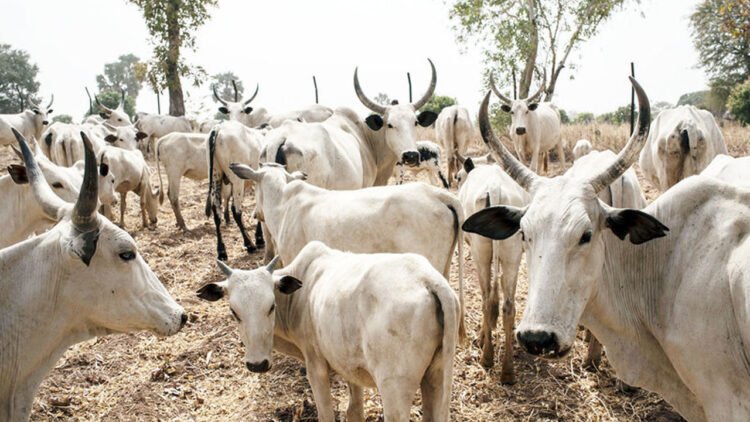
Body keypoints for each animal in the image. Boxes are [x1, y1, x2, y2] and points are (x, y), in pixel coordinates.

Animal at [197, 241, 460, 421]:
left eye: (271, 306)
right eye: (234, 311)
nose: (257, 364)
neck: (300, 294)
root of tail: (429, 279)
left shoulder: (316, 367)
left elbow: (326, 413)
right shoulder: (351, 366)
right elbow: (354, 411)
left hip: (395, 389)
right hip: (437, 377)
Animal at [205, 121, 265, 260]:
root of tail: (218, 128)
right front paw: (259, 239)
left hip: (215, 176)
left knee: (217, 211)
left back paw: (222, 251)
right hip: (237, 181)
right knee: (236, 210)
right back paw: (249, 244)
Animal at [457, 157, 527, 383]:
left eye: (458, 177)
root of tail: (495, 188)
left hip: (481, 253)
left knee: (487, 300)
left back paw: (486, 357)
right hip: (512, 254)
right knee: (508, 306)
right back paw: (508, 371)